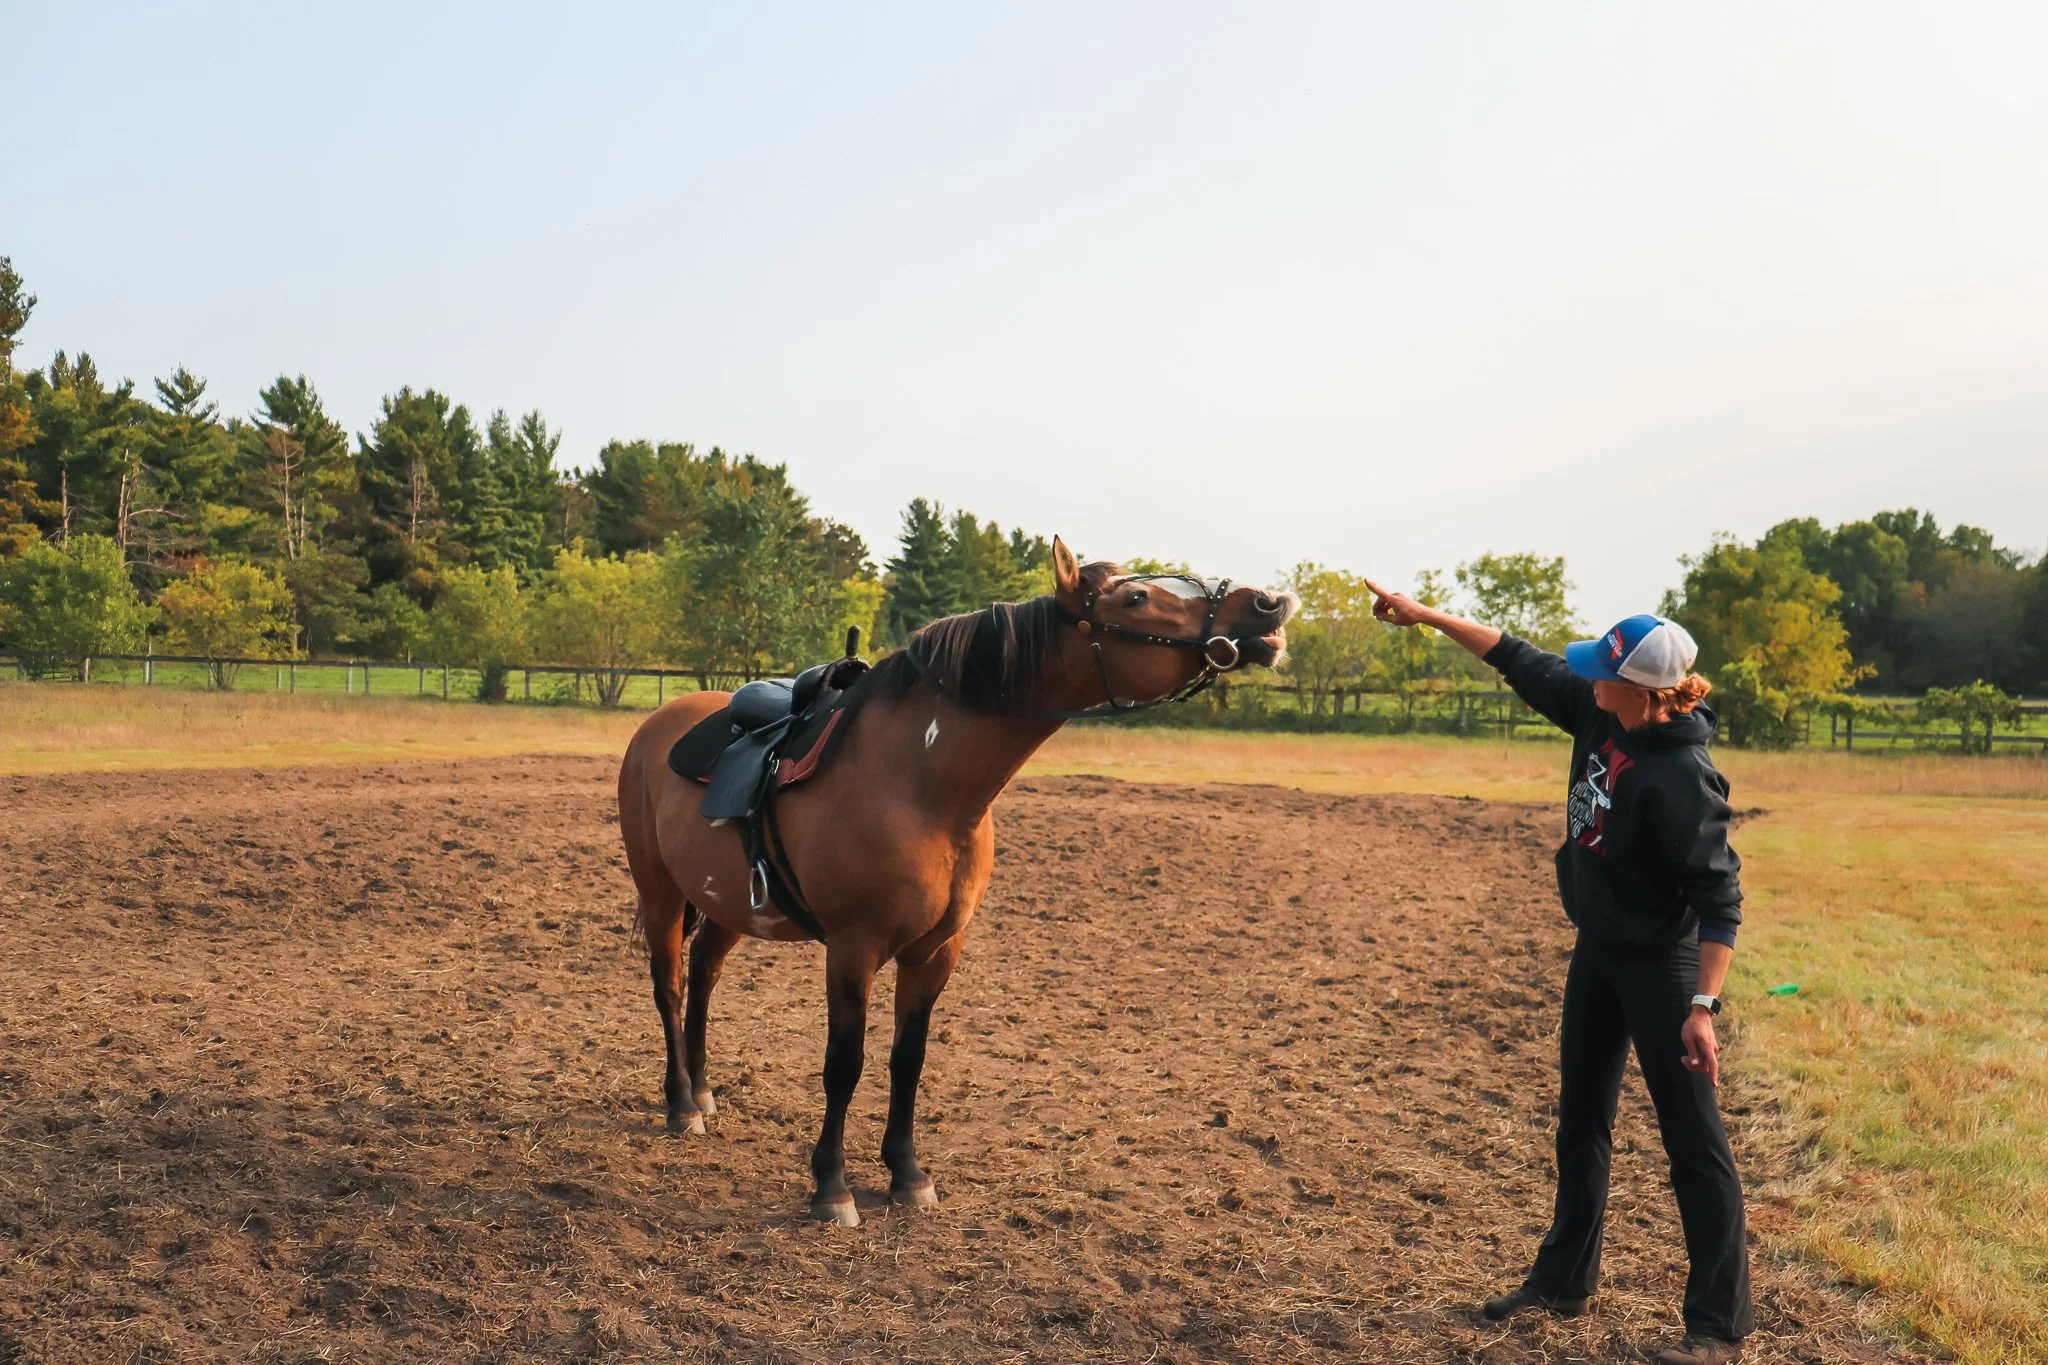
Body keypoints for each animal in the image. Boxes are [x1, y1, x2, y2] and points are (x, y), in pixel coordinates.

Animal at [615, 537, 1296, 1225]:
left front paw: (907, 1173)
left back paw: (703, 1092)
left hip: (729, 904)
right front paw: (831, 1186)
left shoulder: (937, 951)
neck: (916, 781)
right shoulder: (852, 949)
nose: (1265, 605)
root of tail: (662, 722)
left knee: (704, 977)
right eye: (1134, 598)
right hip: (661, 892)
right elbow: (844, 1065)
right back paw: (680, 1105)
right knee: (671, 987)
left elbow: (907, 1060)